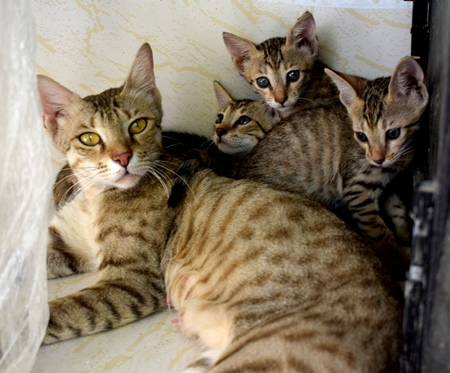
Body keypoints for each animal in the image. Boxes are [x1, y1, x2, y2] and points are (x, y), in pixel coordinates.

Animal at [39, 42, 404, 370]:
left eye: (138, 125)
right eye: (89, 138)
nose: (123, 158)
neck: (94, 195)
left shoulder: (133, 281)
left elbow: (58, 313)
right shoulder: (67, 244)